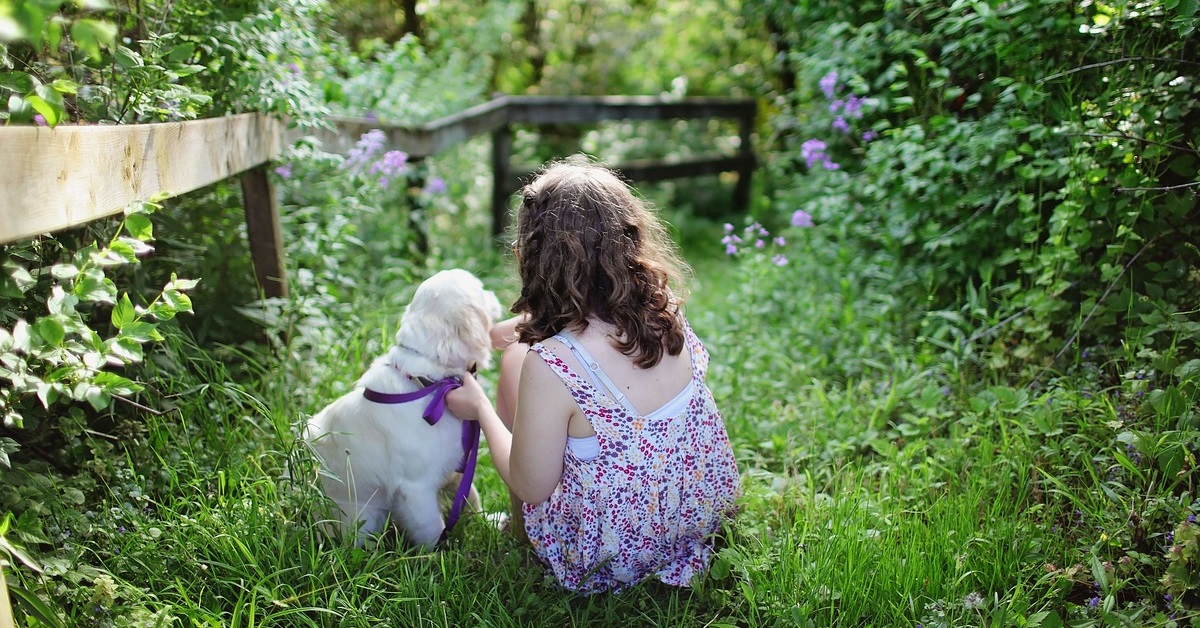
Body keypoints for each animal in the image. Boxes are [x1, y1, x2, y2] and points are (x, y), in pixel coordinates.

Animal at [309, 270, 501, 549]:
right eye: (481, 290)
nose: (494, 294)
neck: (429, 383)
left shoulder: (455, 465)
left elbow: (470, 496)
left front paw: (490, 522)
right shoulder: (416, 488)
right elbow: (432, 529)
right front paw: (440, 554)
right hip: (364, 517)